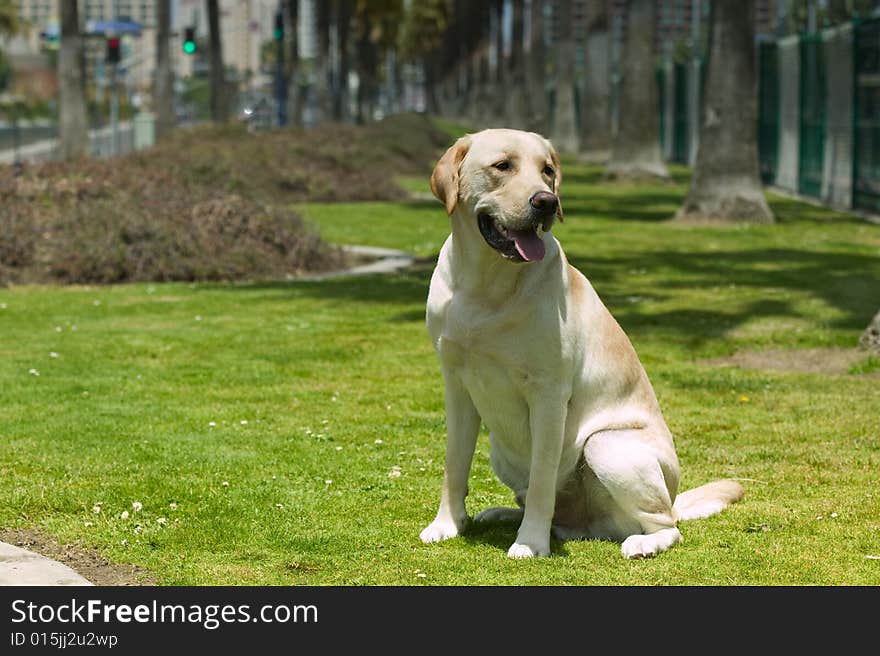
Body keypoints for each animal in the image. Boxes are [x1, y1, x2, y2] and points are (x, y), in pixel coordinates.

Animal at [420, 129, 744, 560]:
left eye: (547, 170)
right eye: (502, 165)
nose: (546, 202)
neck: (484, 287)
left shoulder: (548, 395)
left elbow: (542, 479)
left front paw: (530, 543)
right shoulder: (456, 385)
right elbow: (454, 466)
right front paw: (448, 525)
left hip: (606, 446)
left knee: (666, 524)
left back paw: (642, 542)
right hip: (501, 452)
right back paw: (504, 514)